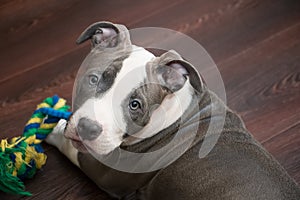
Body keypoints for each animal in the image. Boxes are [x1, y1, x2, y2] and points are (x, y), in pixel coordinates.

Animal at [45, 21, 300, 199]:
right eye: (94, 79)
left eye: (135, 105)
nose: (87, 129)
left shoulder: (105, 172)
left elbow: (70, 146)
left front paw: (52, 127)